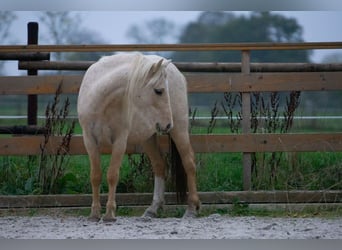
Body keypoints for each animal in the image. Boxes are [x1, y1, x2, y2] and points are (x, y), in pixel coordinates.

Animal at [77, 52, 200, 221]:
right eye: (159, 91)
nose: (168, 124)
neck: (101, 101)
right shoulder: (89, 140)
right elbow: (95, 176)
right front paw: (94, 214)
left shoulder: (120, 141)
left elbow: (112, 175)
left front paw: (109, 214)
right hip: (148, 137)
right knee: (159, 166)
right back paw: (152, 209)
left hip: (179, 130)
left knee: (189, 163)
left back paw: (191, 209)